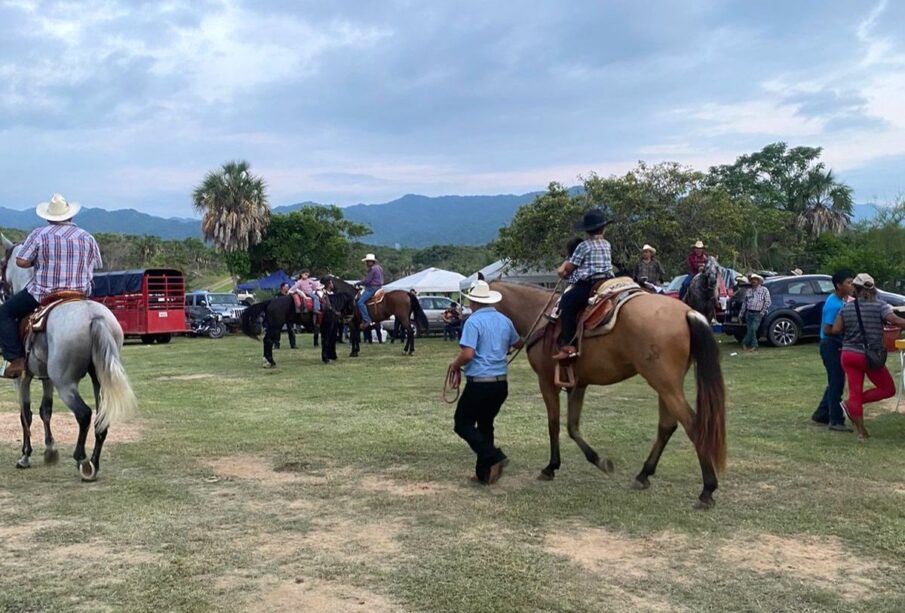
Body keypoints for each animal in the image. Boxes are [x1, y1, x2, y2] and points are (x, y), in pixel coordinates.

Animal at [0, 233, 136, 478]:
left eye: (3, 263)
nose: (3, 290)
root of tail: (94, 317)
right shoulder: (45, 378)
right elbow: (45, 411)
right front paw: (50, 451)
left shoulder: (22, 378)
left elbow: (26, 414)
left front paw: (25, 456)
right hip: (99, 379)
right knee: (101, 419)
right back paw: (94, 463)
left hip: (65, 382)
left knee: (84, 414)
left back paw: (82, 460)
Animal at [488, 280, 728, 506]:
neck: (540, 315)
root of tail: (687, 312)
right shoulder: (578, 385)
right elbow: (572, 427)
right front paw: (600, 461)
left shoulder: (546, 381)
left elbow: (553, 424)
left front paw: (550, 467)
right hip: (667, 384)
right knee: (667, 426)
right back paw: (643, 475)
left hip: (665, 383)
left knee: (693, 425)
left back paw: (707, 490)